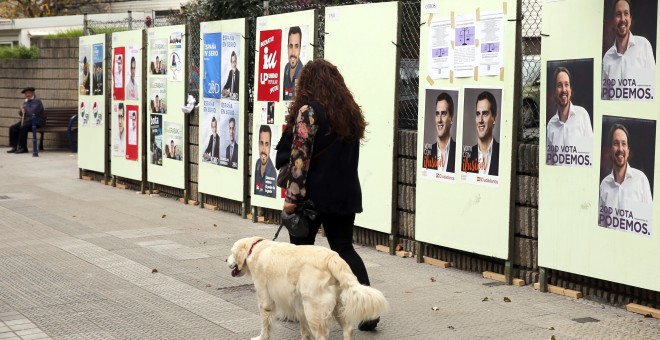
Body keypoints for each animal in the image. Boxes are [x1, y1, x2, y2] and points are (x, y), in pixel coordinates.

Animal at [229, 236, 390, 340]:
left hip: (314, 309)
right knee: (348, 329)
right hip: (336, 305)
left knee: (322, 336)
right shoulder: (298, 303)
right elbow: (303, 329)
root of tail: (333, 258)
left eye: (231, 252)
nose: (226, 260)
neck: (255, 249)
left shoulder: (265, 300)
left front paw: (261, 337)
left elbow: (265, 324)